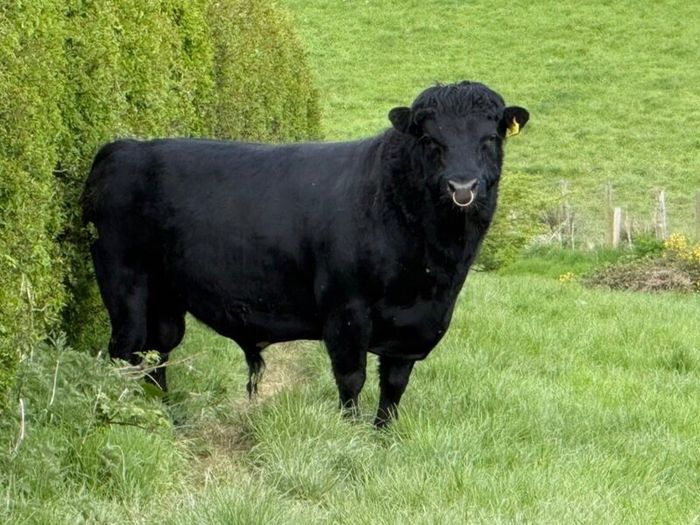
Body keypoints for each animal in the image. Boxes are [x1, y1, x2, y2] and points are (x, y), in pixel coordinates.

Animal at [82, 81, 529, 427]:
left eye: (489, 139)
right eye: (431, 140)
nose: (462, 186)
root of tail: (123, 148)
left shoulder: (416, 327)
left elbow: (394, 385)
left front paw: (383, 435)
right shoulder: (346, 311)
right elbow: (351, 378)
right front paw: (350, 434)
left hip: (165, 296)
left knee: (157, 351)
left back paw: (166, 416)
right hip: (124, 282)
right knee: (125, 350)